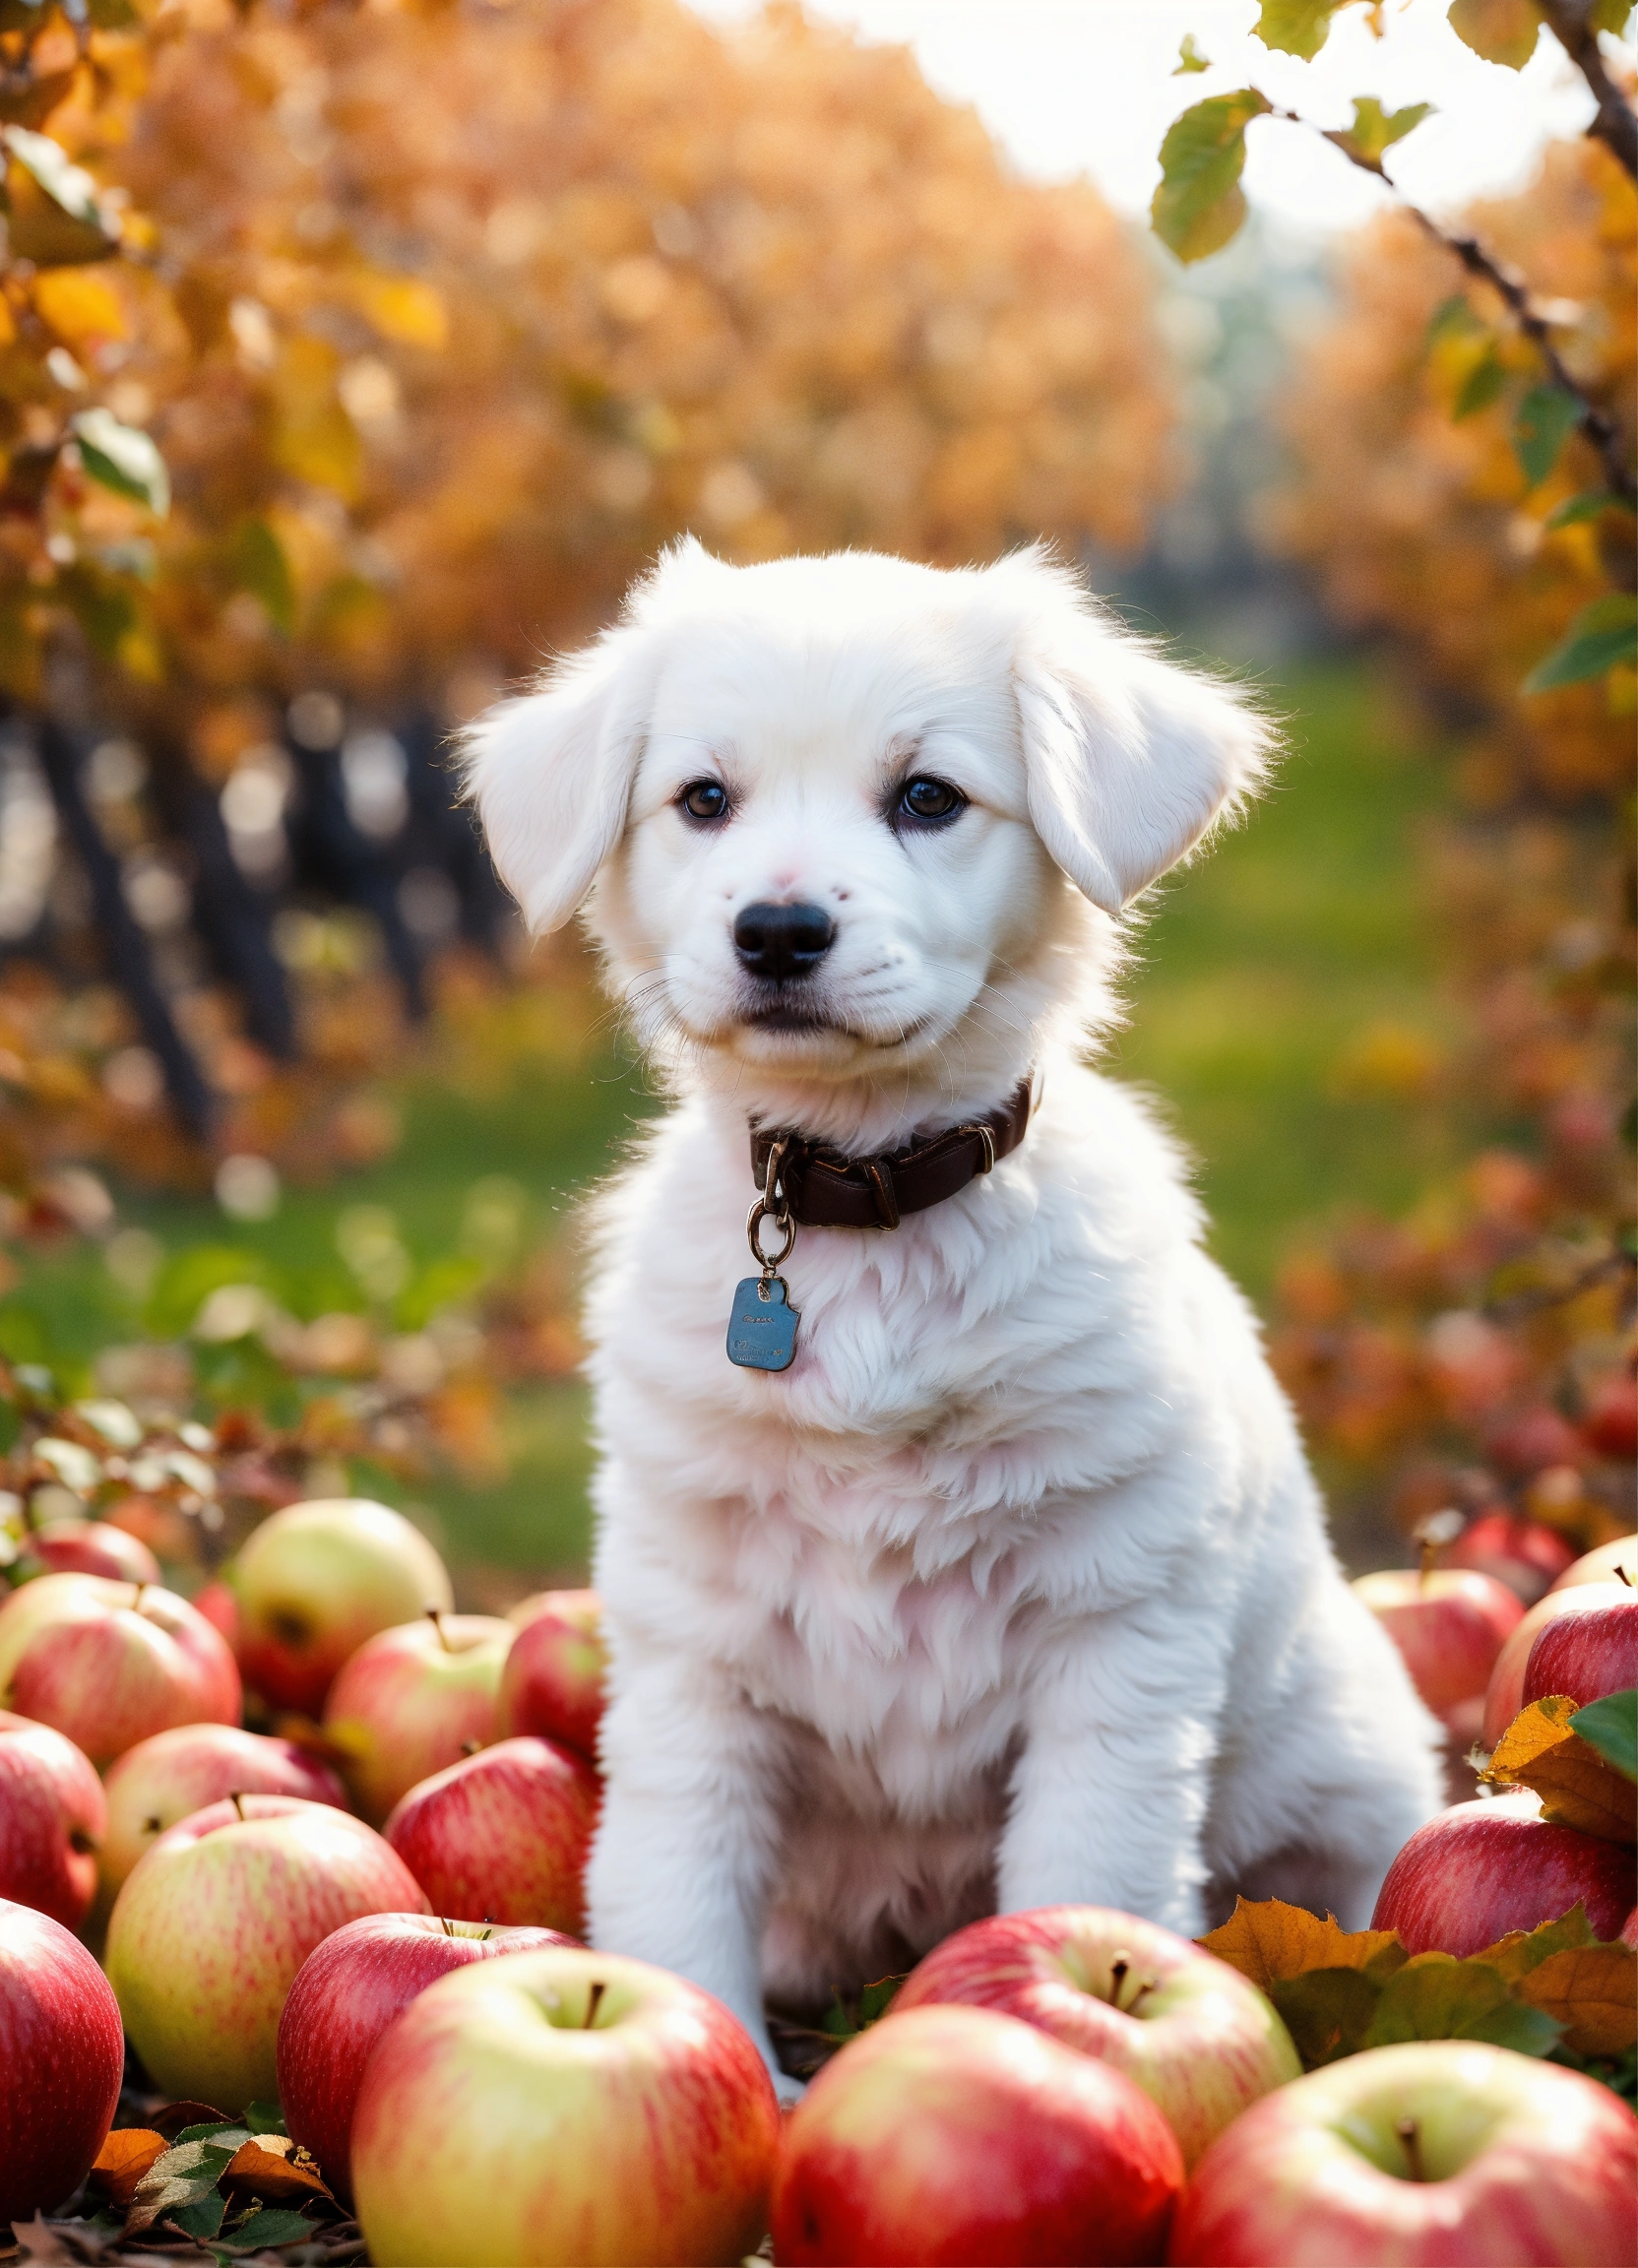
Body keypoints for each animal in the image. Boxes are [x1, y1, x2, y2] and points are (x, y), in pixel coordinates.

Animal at [465, 539, 1433, 2095]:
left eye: (927, 798)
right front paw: (721, 2061)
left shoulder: (1118, 1630)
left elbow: (1083, 1878)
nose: (778, 931)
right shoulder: (692, 1642)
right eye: (702, 801)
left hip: (1348, 1769)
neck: (867, 1220)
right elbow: (674, 1884)